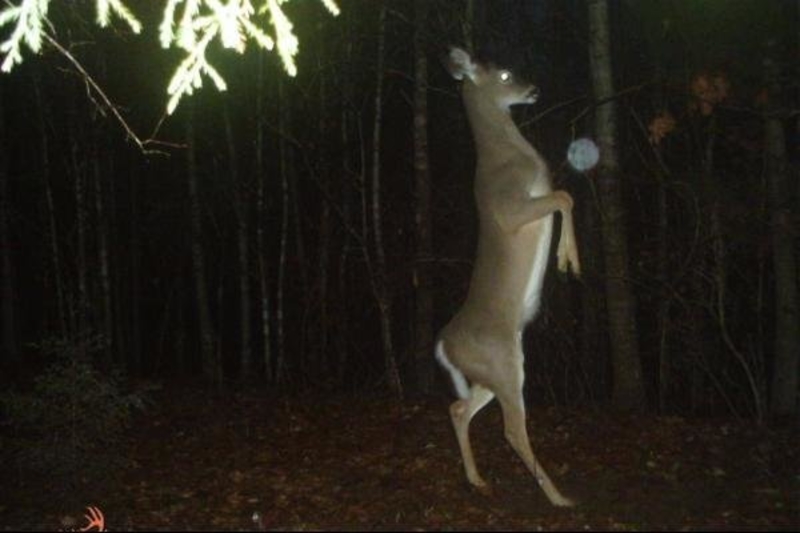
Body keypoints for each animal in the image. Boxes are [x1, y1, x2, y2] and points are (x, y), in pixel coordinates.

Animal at [438, 46, 580, 508]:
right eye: (503, 74)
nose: (533, 88)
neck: (508, 156)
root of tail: (444, 347)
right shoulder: (512, 207)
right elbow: (564, 195)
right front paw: (569, 261)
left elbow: (564, 194)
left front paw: (567, 259)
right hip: (503, 364)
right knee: (511, 430)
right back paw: (559, 497)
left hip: (492, 371)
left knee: (458, 408)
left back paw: (477, 480)